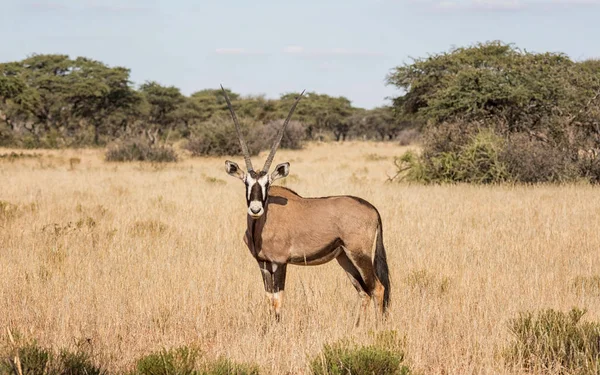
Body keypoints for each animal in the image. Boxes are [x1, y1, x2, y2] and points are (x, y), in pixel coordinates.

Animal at [223, 86, 392, 326]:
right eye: (246, 183)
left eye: (267, 184)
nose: (255, 209)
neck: (261, 226)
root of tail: (372, 209)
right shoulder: (263, 263)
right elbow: (268, 299)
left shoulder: (280, 262)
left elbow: (278, 300)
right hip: (344, 257)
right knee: (363, 291)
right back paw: (357, 327)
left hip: (359, 254)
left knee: (377, 288)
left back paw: (377, 328)